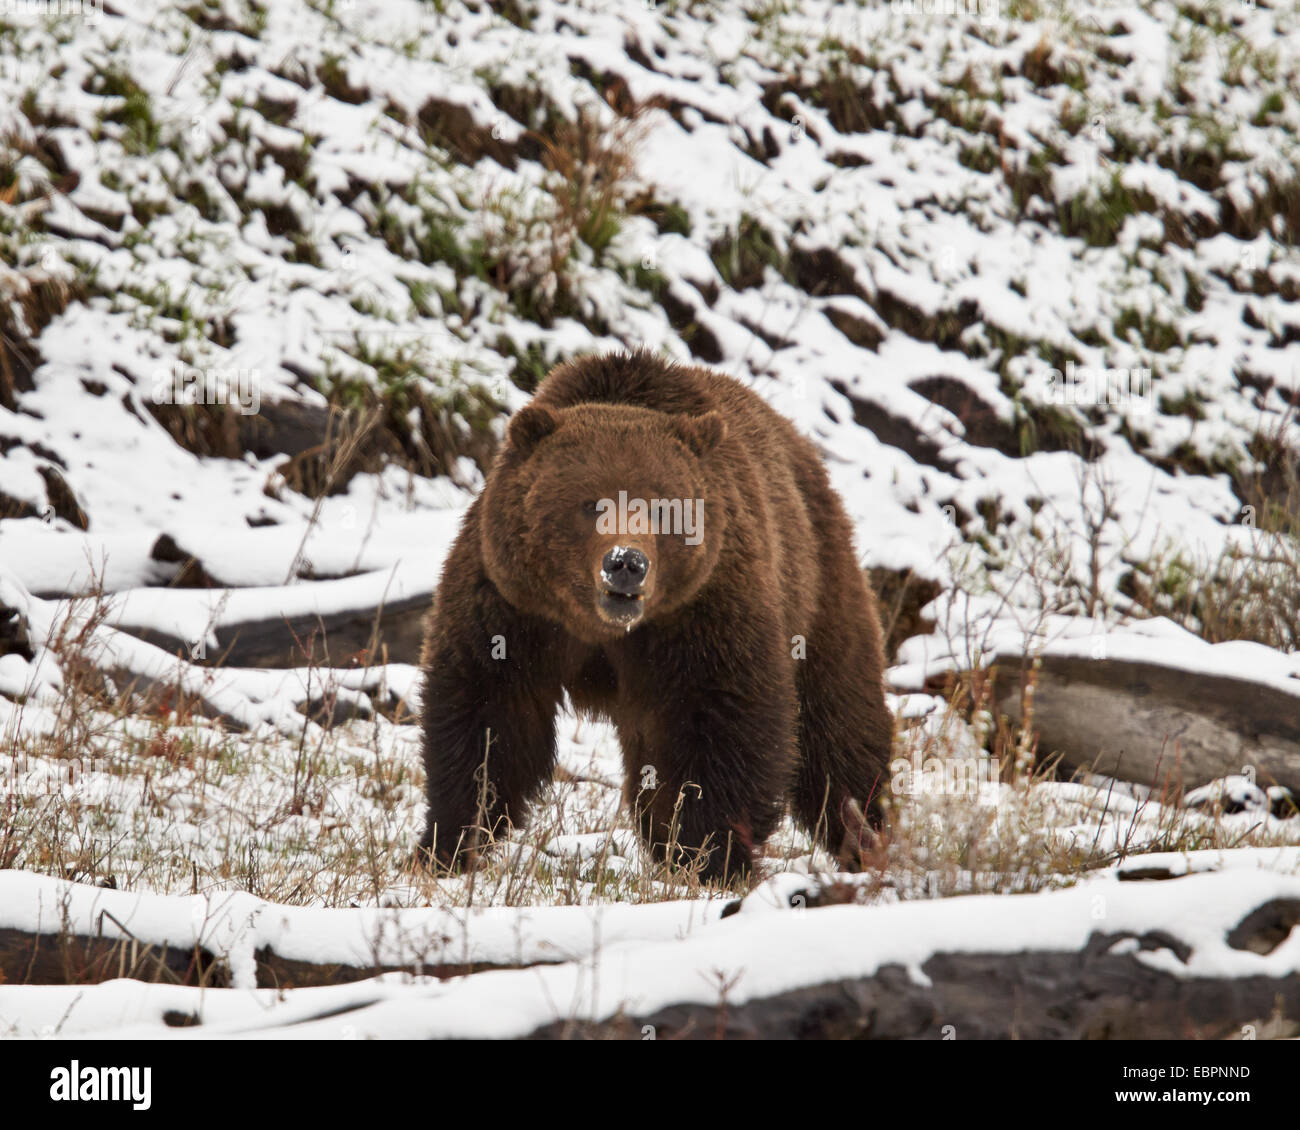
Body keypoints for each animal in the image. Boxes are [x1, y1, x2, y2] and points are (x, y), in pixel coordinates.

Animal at [416, 348, 894, 879]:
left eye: (664, 509)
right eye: (590, 503)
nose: (626, 563)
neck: (601, 630)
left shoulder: (704, 611)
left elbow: (722, 723)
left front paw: (712, 855)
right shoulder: (511, 605)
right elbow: (487, 713)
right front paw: (447, 845)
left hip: (817, 581)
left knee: (837, 724)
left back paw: (863, 833)